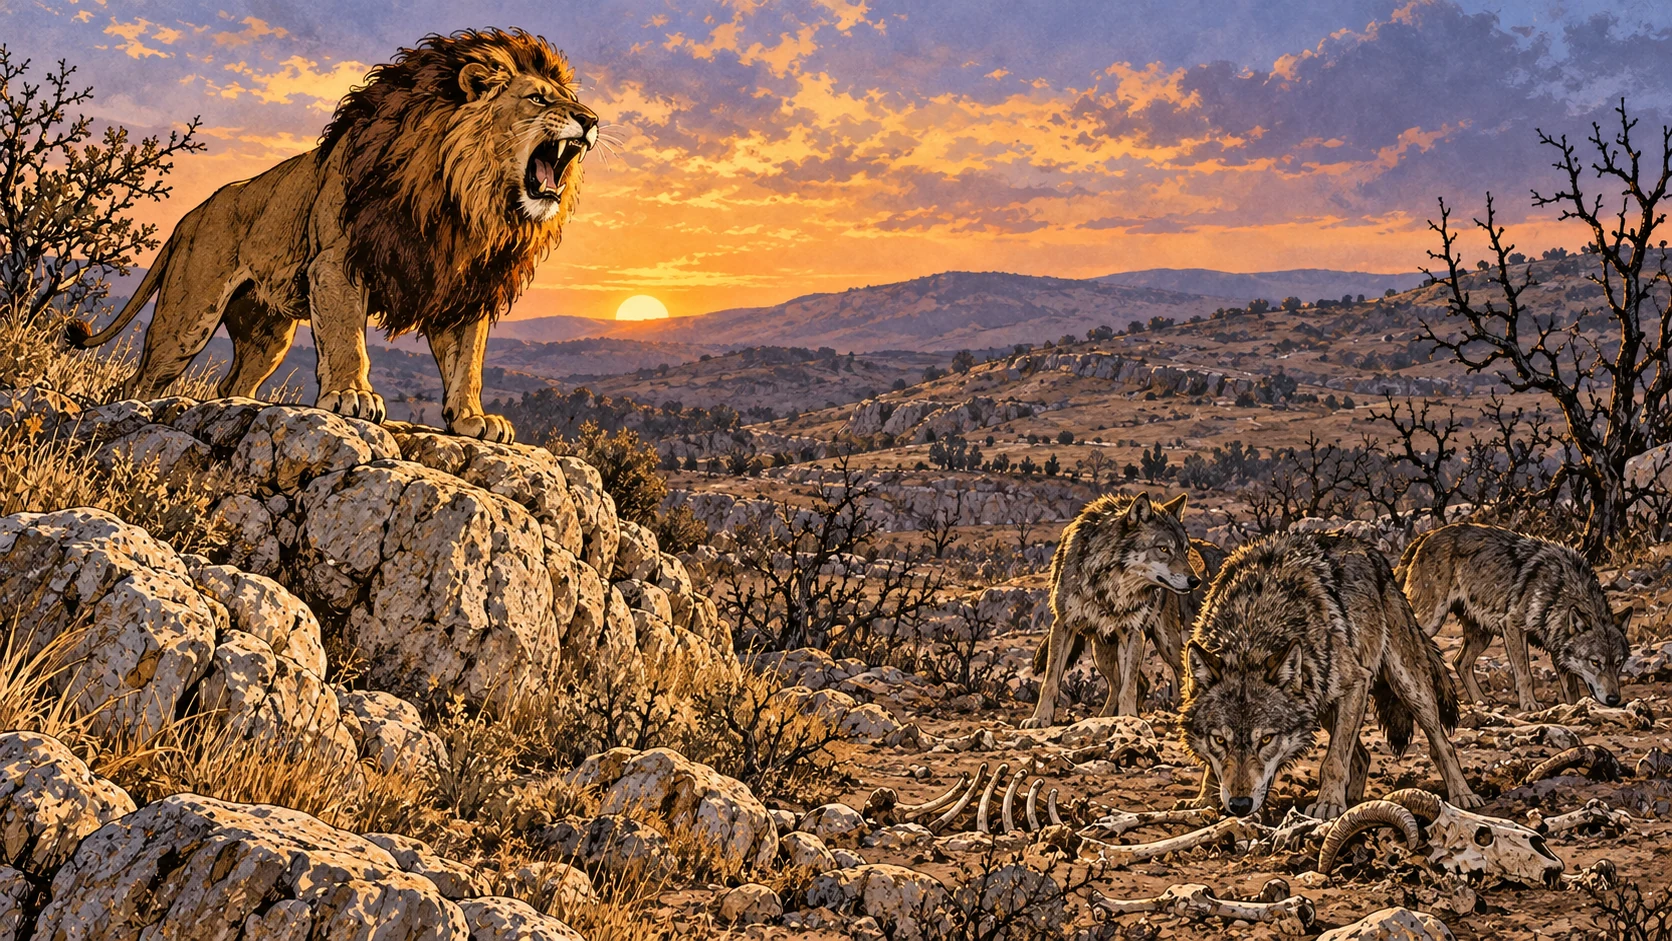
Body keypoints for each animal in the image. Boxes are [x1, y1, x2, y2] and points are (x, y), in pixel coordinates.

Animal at [67, 28, 597, 443]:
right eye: (538, 99)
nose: (591, 120)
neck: (462, 200)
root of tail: (190, 216)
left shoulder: (461, 284)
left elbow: (467, 362)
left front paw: (471, 420)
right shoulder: (336, 263)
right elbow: (347, 338)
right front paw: (351, 395)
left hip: (268, 335)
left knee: (232, 386)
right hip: (187, 319)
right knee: (140, 382)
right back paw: (133, 412)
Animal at [1022, 492, 1212, 729]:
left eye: (1184, 550)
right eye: (1163, 549)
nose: (1194, 581)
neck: (1110, 586)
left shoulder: (1133, 632)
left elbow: (1128, 688)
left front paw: (1129, 717)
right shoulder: (1063, 624)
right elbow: (1050, 681)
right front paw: (1040, 718)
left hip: (1167, 643)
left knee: (1169, 677)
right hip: (1100, 653)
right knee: (1129, 684)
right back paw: (1104, 717)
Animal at [1181, 531, 1480, 820]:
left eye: (1266, 739)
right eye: (1220, 740)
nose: (1240, 804)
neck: (1250, 629)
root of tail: (1371, 553)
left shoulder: (1357, 683)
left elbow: (1334, 760)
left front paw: (1327, 803)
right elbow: (1212, 767)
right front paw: (1204, 800)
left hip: (1408, 686)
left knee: (1441, 745)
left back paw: (1463, 796)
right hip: (1323, 704)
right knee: (1362, 757)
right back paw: (1355, 802)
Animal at [1398, 522, 1629, 711]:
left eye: (1619, 663)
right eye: (1595, 662)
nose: (1614, 699)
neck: (1560, 590)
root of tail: (1428, 534)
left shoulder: (1555, 642)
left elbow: (1571, 687)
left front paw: (1573, 705)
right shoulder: (1512, 626)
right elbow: (1525, 674)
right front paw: (1530, 704)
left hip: (1482, 634)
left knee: (1459, 662)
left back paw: (1480, 700)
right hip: (1430, 620)